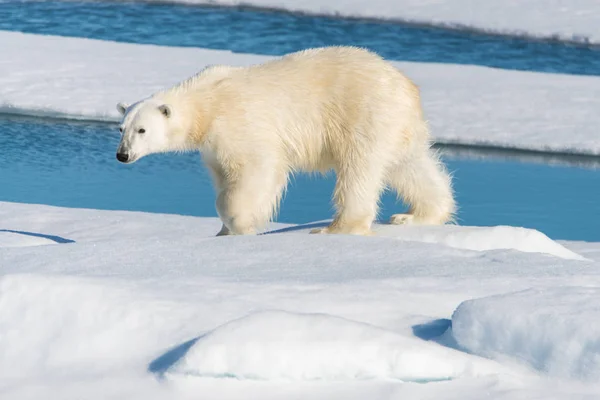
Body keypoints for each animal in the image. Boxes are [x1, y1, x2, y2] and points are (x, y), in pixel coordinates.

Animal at [116, 45, 454, 236]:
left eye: (142, 130)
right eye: (121, 129)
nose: (122, 155)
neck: (206, 102)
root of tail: (406, 85)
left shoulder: (239, 122)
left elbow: (257, 169)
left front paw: (240, 223)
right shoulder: (212, 146)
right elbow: (223, 175)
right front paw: (224, 231)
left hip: (362, 113)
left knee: (358, 169)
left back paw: (336, 227)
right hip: (397, 125)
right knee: (408, 165)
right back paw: (415, 216)